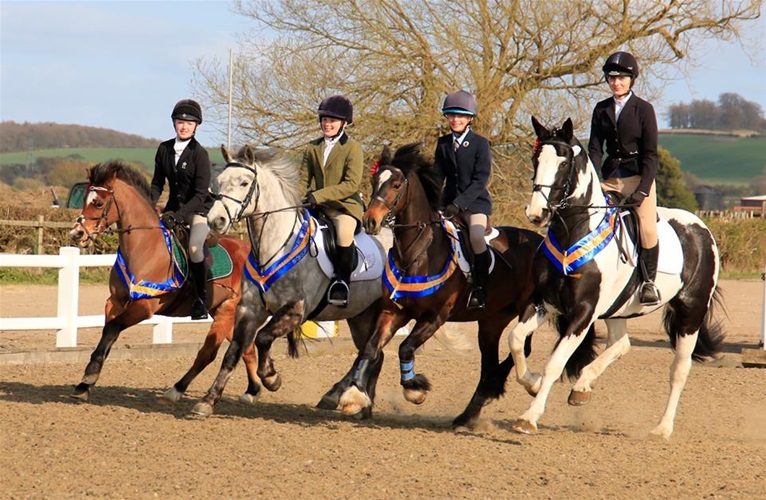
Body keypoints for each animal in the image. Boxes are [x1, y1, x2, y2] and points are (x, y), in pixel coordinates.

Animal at [69, 162, 260, 404]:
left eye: (99, 203)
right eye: (84, 199)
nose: (76, 233)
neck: (144, 247)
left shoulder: (144, 306)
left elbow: (111, 329)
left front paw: (89, 376)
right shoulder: (115, 302)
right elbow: (108, 334)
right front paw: (85, 383)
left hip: (227, 310)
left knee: (208, 353)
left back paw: (178, 390)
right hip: (224, 311)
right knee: (247, 349)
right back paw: (257, 387)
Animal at [187, 145, 390, 418]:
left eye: (244, 183)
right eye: (218, 183)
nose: (215, 221)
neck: (274, 245)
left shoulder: (295, 311)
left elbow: (262, 338)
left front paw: (271, 378)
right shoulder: (249, 309)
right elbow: (234, 351)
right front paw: (208, 400)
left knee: (372, 353)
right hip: (361, 315)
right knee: (374, 354)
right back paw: (362, 407)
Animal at [340, 143, 544, 428]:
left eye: (396, 184)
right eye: (374, 181)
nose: (370, 221)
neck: (418, 253)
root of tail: (539, 241)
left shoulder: (435, 316)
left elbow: (405, 348)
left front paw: (415, 389)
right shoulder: (394, 312)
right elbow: (370, 348)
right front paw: (352, 397)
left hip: (528, 308)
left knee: (521, 348)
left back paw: (521, 386)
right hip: (491, 321)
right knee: (489, 364)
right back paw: (468, 414)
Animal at [510, 116, 728, 438]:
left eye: (564, 163)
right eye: (536, 159)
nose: (537, 213)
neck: (571, 233)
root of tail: (701, 227)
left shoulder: (583, 312)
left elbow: (555, 362)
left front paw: (529, 417)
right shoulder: (543, 302)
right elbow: (515, 339)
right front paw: (533, 383)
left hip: (691, 313)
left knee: (679, 370)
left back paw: (662, 429)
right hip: (618, 307)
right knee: (621, 344)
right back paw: (582, 387)